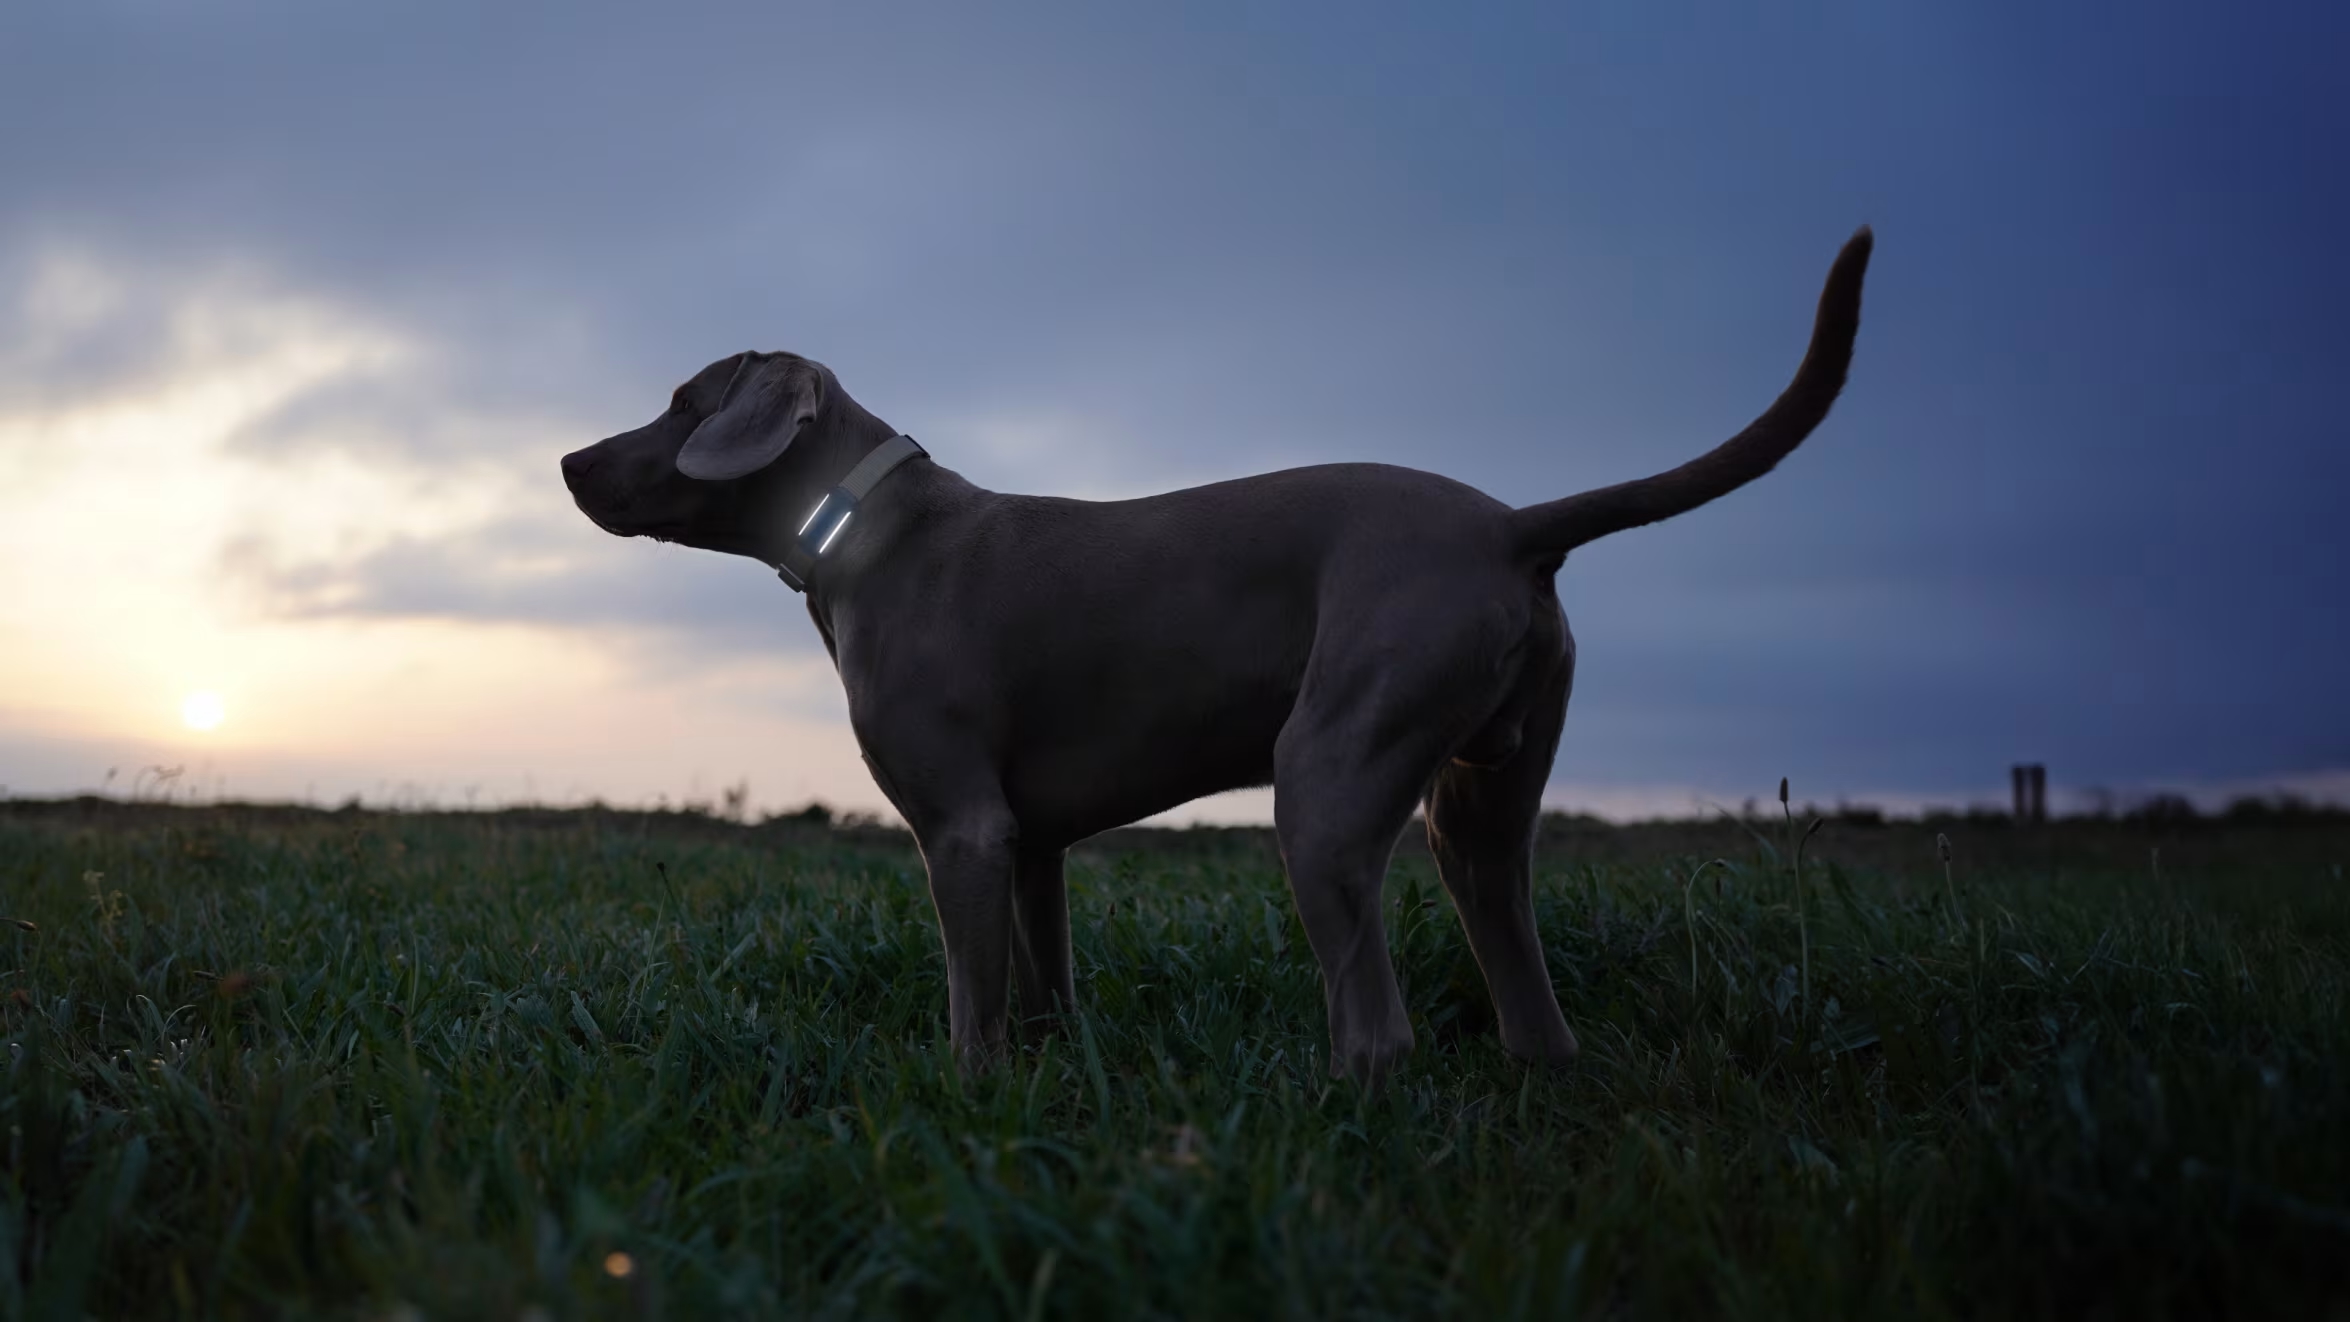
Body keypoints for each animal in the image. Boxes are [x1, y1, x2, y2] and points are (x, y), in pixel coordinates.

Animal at [564, 227, 1870, 1080]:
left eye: (682, 400)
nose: (570, 462)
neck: (872, 527)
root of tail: (1510, 524)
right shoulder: (1031, 844)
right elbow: (1043, 988)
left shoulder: (964, 832)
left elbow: (970, 1008)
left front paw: (965, 1096)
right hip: (1483, 800)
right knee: (1523, 981)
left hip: (1328, 774)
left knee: (1378, 1023)